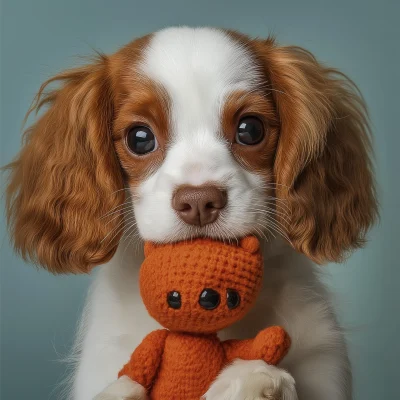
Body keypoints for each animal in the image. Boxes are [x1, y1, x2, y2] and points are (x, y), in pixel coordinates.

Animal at [117, 236, 290, 398]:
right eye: (173, 298)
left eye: (233, 298)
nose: (208, 296)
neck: (194, 336)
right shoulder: (156, 341)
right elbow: (142, 361)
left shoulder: (227, 349)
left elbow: (247, 349)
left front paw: (274, 337)